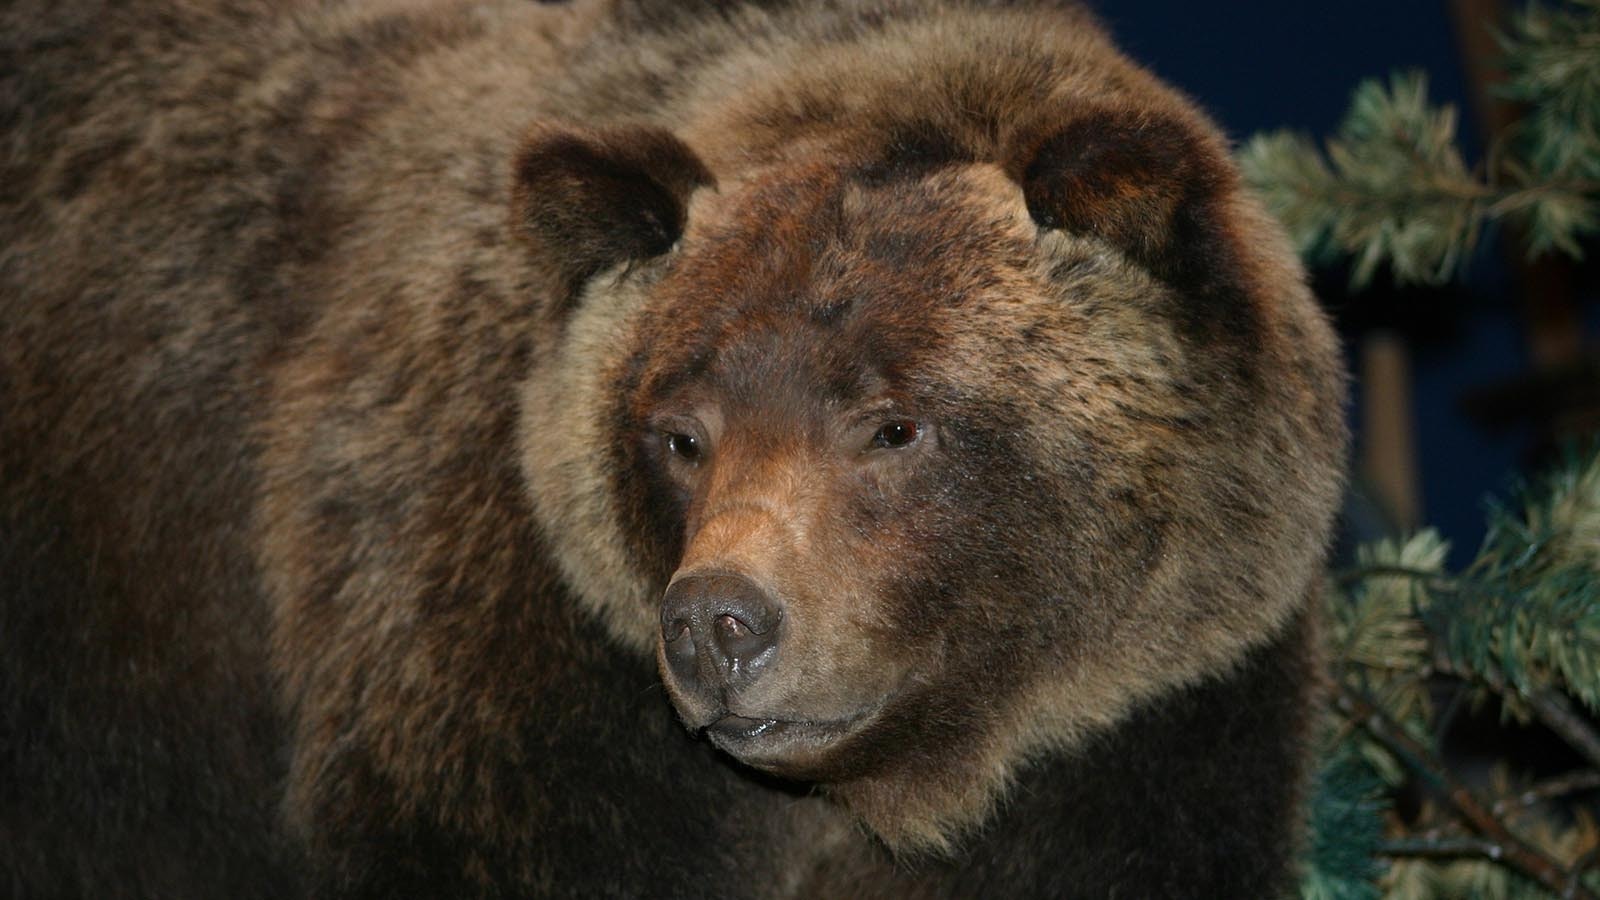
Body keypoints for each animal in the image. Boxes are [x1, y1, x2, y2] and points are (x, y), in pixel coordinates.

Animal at [0, 0, 1350, 890]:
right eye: (679, 432)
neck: (901, 777)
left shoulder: (1141, 728)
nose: (718, 621)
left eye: (895, 423)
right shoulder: (524, 682)